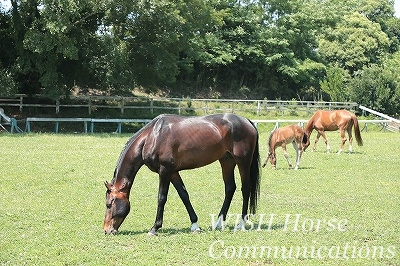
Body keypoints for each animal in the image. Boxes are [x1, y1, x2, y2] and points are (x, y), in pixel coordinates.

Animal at [103, 113, 260, 236]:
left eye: (109, 205)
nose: (106, 230)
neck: (152, 137)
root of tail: (247, 121)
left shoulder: (165, 171)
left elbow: (161, 198)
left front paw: (154, 228)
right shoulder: (173, 172)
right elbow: (184, 195)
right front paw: (195, 225)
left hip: (243, 161)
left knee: (246, 189)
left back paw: (241, 224)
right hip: (227, 161)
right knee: (230, 188)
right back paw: (218, 223)